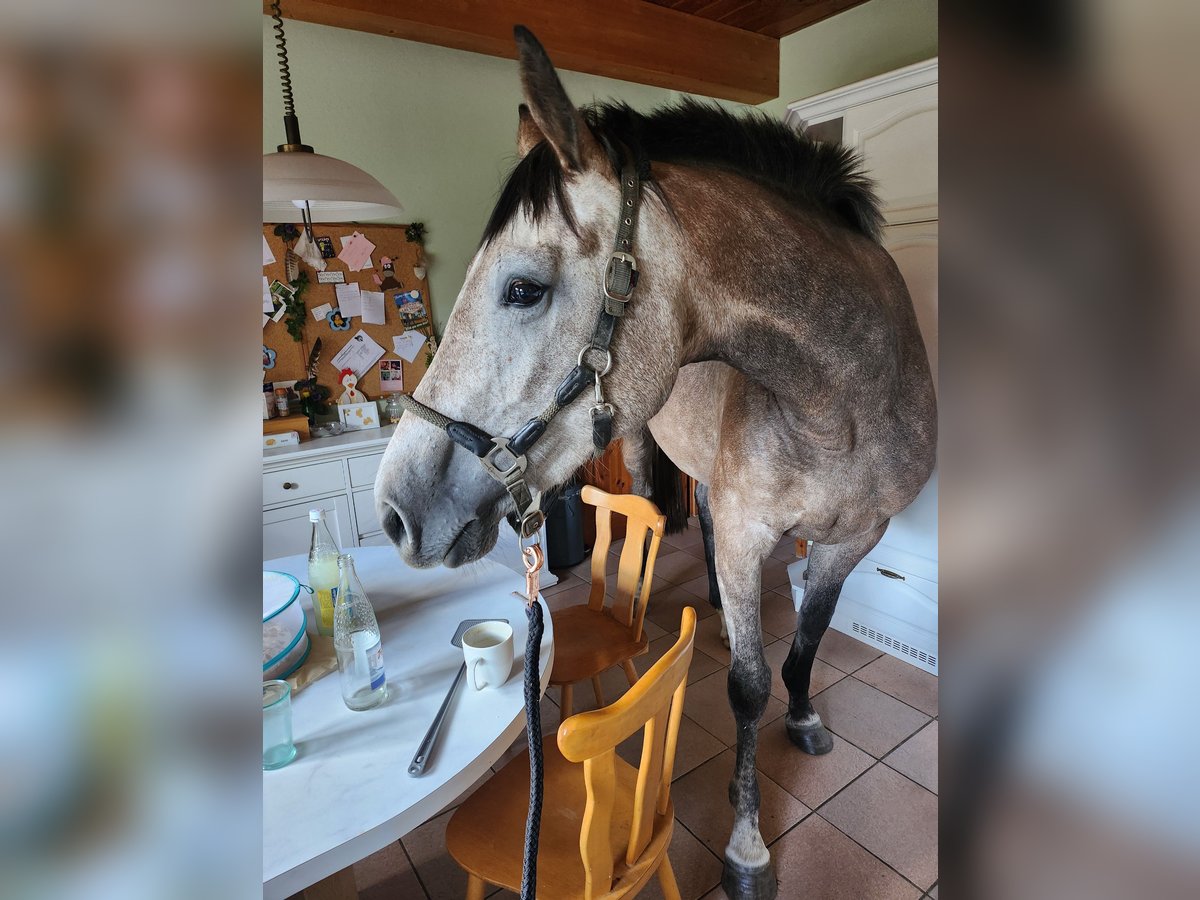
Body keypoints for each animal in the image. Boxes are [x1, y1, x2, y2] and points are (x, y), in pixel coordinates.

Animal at [376, 28, 936, 900]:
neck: (842, 400)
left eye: (523, 288)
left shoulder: (858, 537)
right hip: (648, 451)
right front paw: (747, 846)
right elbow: (748, 684)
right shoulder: (748, 533)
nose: (397, 509)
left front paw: (804, 717)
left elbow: (808, 639)